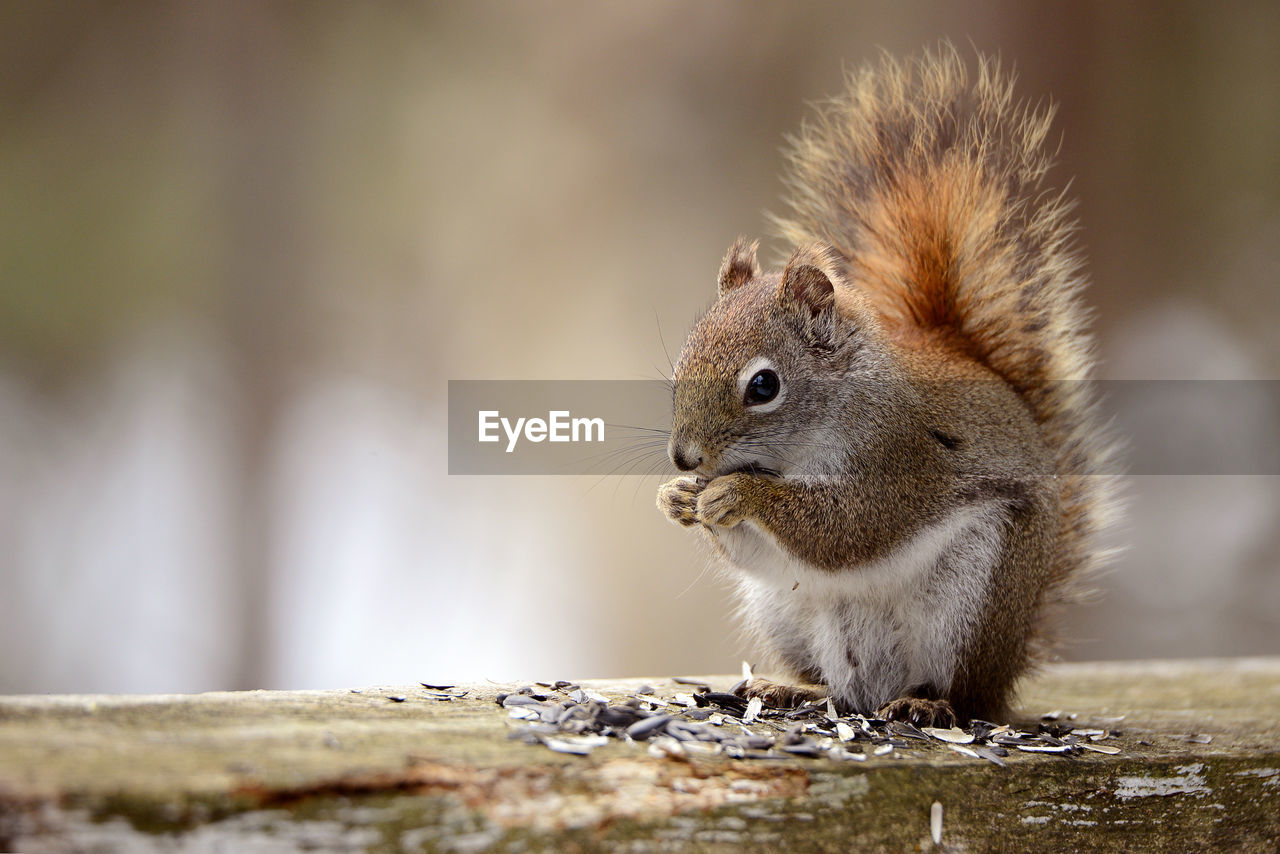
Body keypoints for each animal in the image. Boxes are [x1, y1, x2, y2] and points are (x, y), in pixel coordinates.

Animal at [660, 46, 1121, 727]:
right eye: (682, 363)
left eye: (764, 386)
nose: (685, 459)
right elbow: (763, 551)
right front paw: (676, 498)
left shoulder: (899, 454)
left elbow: (850, 530)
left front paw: (740, 494)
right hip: (788, 615)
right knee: (837, 684)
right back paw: (799, 690)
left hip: (974, 599)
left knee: (962, 693)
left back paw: (925, 704)